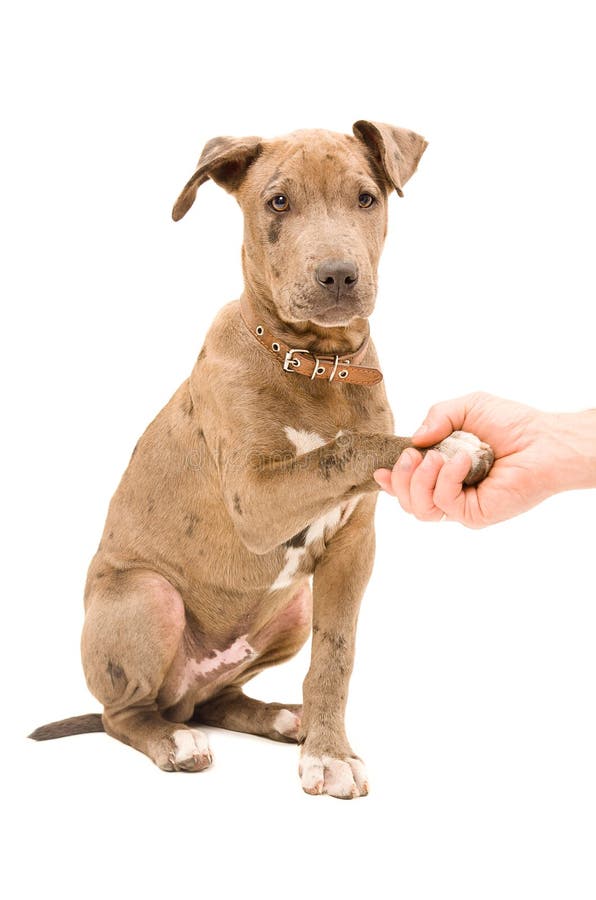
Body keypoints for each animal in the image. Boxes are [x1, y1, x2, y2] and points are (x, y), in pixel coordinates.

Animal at [29, 121, 494, 800]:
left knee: (219, 698)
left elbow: (335, 656)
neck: (313, 362)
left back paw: (281, 718)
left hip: (288, 614)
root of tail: (181, 696)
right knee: (124, 714)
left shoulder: (354, 547)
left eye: (366, 198)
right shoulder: (256, 500)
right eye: (278, 202)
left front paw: (328, 750)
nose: (338, 275)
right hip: (148, 596)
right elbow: (346, 447)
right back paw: (174, 742)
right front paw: (448, 444)